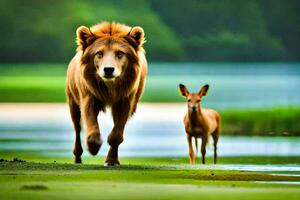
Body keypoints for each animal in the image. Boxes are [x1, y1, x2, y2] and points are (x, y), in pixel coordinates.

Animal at [65, 21, 146, 166]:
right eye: (99, 53)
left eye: (120, 53)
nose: (108, 69)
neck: (110, 87)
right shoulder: (89, 93)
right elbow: (89, 117)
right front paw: (93, 146)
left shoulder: (125, 98)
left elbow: (117, 133)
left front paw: (111, 160)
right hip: (72, 98)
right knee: (77, 126)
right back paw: (78, 156)